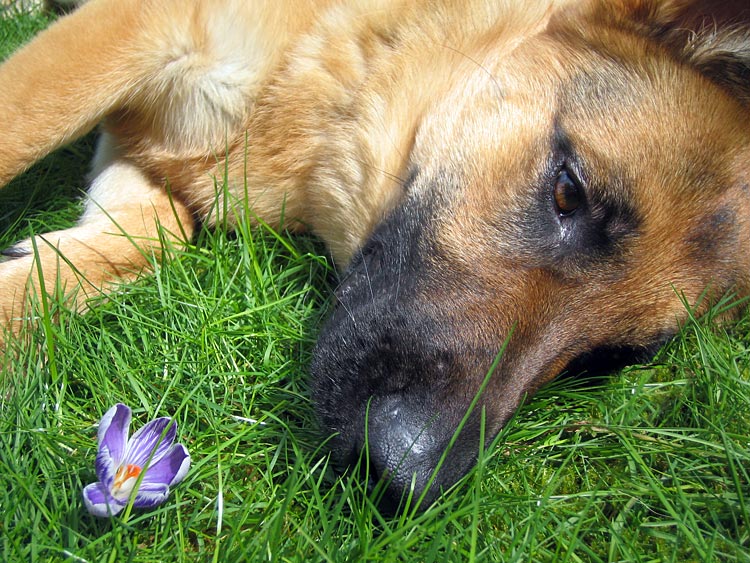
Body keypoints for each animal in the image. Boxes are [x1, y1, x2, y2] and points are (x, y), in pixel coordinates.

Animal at [1, 0, 749, 511]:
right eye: (569, 191)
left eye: (609, 359)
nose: (400, 472)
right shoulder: (136, 29)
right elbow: (21, 124)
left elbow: (149, 234)